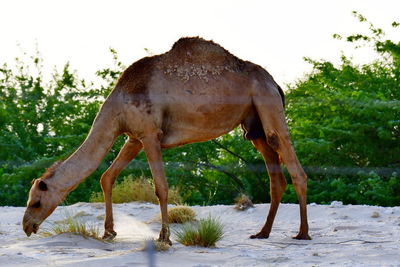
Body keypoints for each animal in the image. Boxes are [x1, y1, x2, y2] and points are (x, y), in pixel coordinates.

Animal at [21, 37, 310, 245]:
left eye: (36, 201)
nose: (26, 226)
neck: (117, 107)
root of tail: (274, 82)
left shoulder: (150, 134)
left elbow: (160, 187)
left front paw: (164, 238)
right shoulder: (134, 136)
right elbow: (107, 176)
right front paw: (109, 232)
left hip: (267, 102)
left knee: (292, 163)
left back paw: (302, 233)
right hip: (253, 125)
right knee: (275, 175)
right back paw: (263, 233)